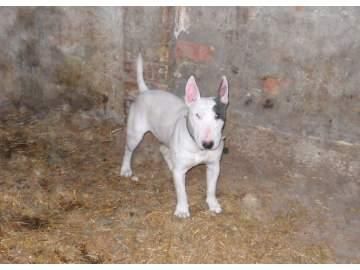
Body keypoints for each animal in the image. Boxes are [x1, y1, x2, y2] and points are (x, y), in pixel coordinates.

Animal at [119, 54, 229, 217]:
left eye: (218, 116)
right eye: (197, 115)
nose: (208, 144)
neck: (196, 146)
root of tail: (145, 91)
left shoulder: (214, 166)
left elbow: (211, 187)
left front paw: (213, 203)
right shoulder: (180, 172)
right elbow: (182, 191)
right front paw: (182, 210)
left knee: (163, 149)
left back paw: (170, 164)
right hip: (135, 134)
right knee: (128, 150)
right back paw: (126, 169)